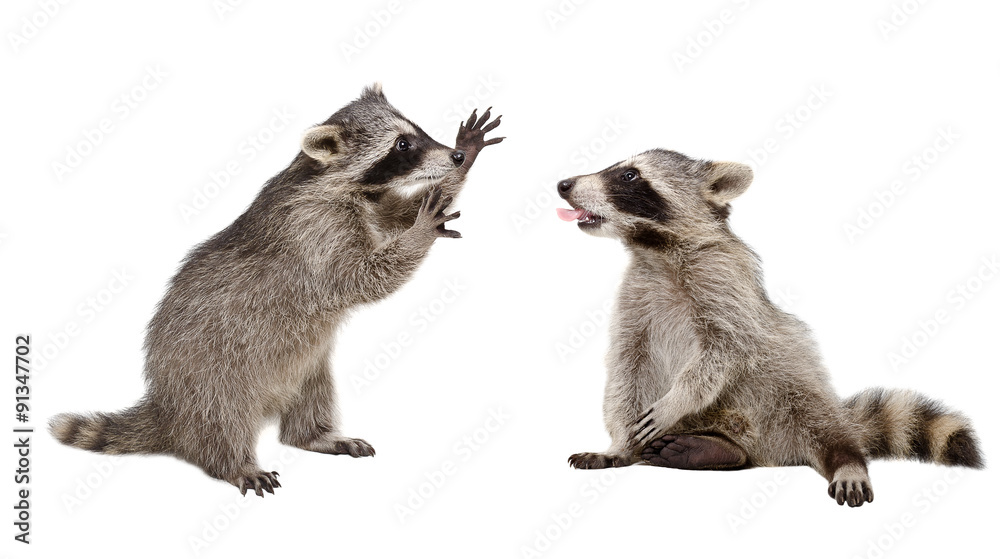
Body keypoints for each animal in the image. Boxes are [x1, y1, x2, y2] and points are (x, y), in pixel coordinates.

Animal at [50, 85, 503, 496]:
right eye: (402, 145)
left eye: (417, 131)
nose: (453, 156)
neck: (331, 180)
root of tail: (168, 406)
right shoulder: (314, 230)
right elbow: (360, 278)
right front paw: (421, 230)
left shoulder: (371, 205)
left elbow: (397, 215)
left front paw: (460, 166)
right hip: (212, 373)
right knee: (223, 421)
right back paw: (235, 462)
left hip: (307, 366)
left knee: (313, 396)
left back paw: (315, 434)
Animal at [556, 149, 983, 507]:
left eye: (629, 175)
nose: (563, 184)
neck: (655, 250)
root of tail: (768, 452)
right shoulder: (635, 300)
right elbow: (625, 369)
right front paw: (619, 443)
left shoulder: (727, 287)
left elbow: (724, 352)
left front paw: (675, 400)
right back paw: (710, 449)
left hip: (790, 393)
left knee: (820, 421)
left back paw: (846, 458)